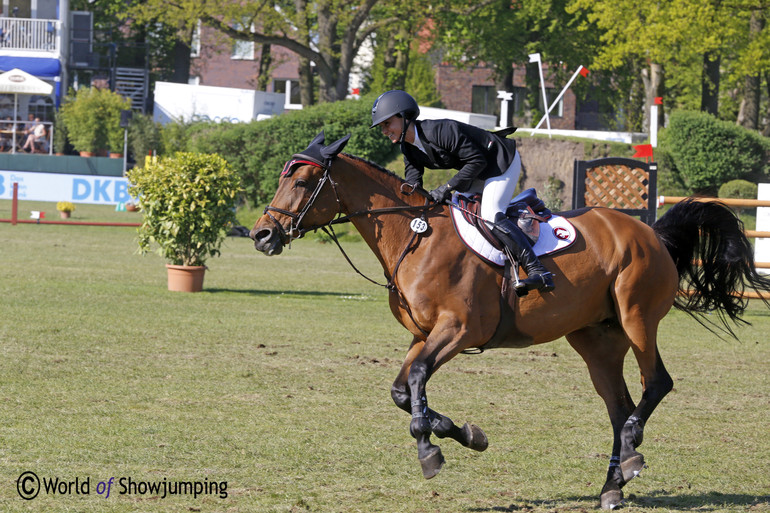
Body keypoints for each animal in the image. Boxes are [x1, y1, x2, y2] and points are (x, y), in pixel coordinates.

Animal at [249, 132, 764, 508]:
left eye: (302, 182)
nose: (262, 235)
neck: (414, 235)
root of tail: (650, 232)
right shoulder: (424, 334)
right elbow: (404, 391)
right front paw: (462, 434)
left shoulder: (458, 330)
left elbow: (415, 382)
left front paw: (430, 450)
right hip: (596, 340)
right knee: (618, 407)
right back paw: (614, 482)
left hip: (637, 317)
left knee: (656, 383)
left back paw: (633, 454)